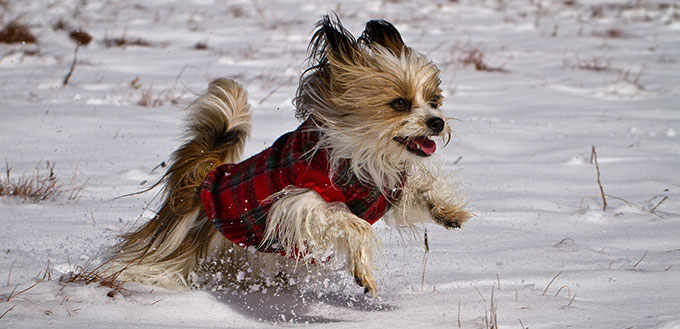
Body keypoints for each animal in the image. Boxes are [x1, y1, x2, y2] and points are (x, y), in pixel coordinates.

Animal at [107, 15, 468, 296]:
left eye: (433, 100)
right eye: (400, 103)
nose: (436, 122)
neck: (361, 154)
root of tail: (203, 178)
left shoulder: (383, 189)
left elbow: (418, 189)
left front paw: (445, 210)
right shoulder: (297, 203)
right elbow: (351, 223)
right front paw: (362, 272)